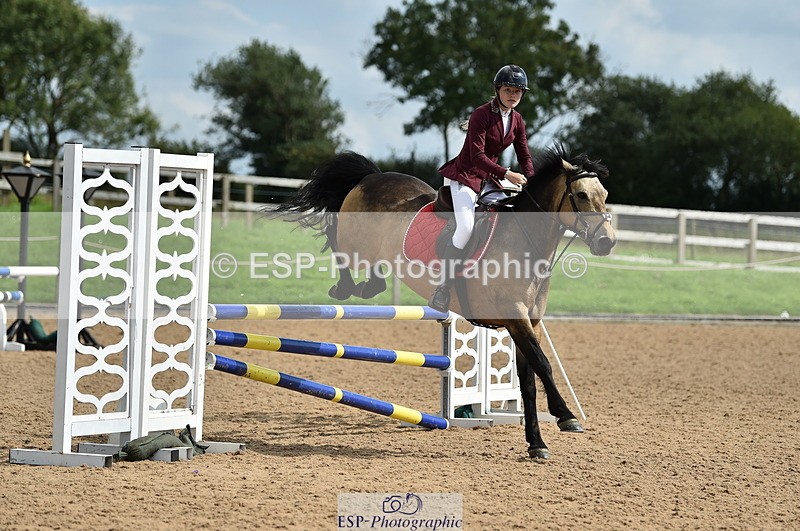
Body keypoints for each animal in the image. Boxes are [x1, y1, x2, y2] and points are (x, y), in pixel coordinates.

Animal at [273, 144, 616, 459]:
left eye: (605, 194)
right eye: (581, 195)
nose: (606, 242)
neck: (525, 243)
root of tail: (372, 176)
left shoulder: (527, 324)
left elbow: (529, 382)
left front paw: (536, 444)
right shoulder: (515, 318)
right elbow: (543, 365)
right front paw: (566, 416)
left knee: (371, 269)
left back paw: (369, 286)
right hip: (354, 242)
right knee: (337, 244)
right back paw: (345, 288)